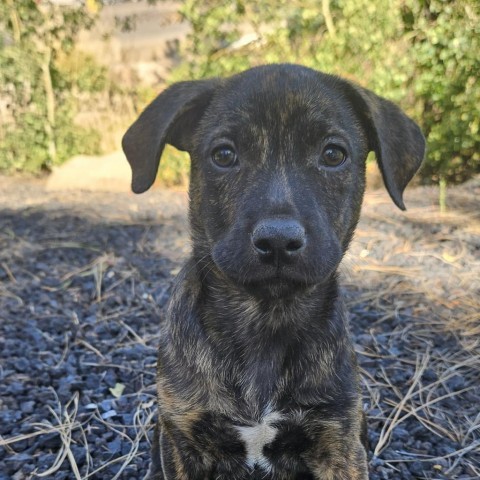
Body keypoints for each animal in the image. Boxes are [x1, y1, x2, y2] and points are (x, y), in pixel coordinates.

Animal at [123, 63, 424, 480]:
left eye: (333, 154)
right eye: (224, 154)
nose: (278, 240)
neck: (265, 317)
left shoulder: (339, 441)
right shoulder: (184, 439)